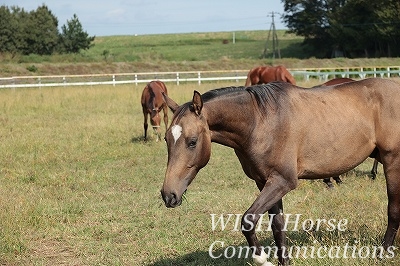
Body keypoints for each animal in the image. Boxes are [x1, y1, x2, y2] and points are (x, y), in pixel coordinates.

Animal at [161, 77, 400, 266]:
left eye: (192, 142)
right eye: (166, 139)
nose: (168, 195)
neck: (261, 121)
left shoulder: (283, 181)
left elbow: (248, 220)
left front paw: (261, 259)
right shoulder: (265, 181)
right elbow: (277, 225)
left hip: (392, 162)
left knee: (394, 210)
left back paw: (382, 253)